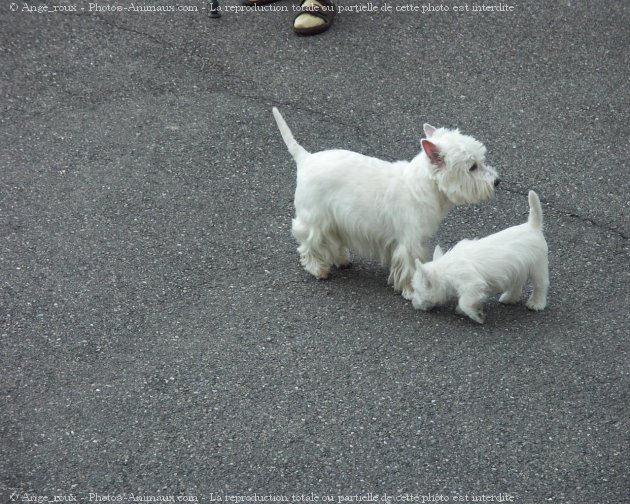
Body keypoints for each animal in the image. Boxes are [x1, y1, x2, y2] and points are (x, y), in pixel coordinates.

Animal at [274, 105, 502, 296]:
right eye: (472, 167)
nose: (497, 181)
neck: (423, 187)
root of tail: (306, 158)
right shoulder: (409, 241)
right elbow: (410, 265)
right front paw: (412, 289)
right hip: (315, 217)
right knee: (308, 242)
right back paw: (318, 269)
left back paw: (342, 260)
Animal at [412, 189, 552, 322]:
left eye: (417, 290)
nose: (413, 304)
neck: (444, 271)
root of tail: (532, 226)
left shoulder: (471, 284)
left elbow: (464, 302)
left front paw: (476, 315)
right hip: (518, 268)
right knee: (517, 283)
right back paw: (509, 298)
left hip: (538, 267)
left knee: (540, 285)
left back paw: (536, 303)